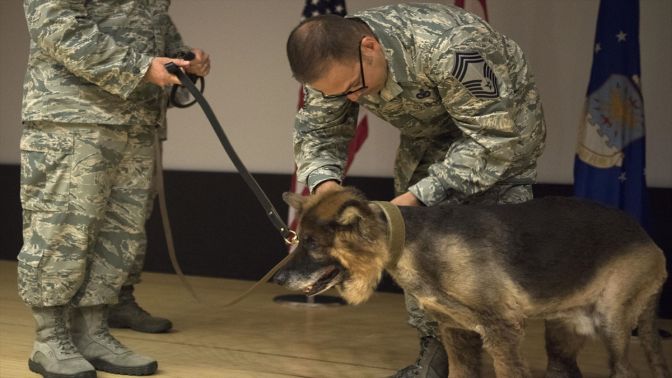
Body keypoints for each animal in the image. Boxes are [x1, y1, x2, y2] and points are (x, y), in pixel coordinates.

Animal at [272, 188, 668, 376]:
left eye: (312, 244)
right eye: (298, 239)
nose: (276, 278)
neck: (411, 243)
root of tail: (646, 236)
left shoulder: (502, 333)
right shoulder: (457, 335)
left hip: (611, 324)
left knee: (626, 371)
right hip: (565, 329)